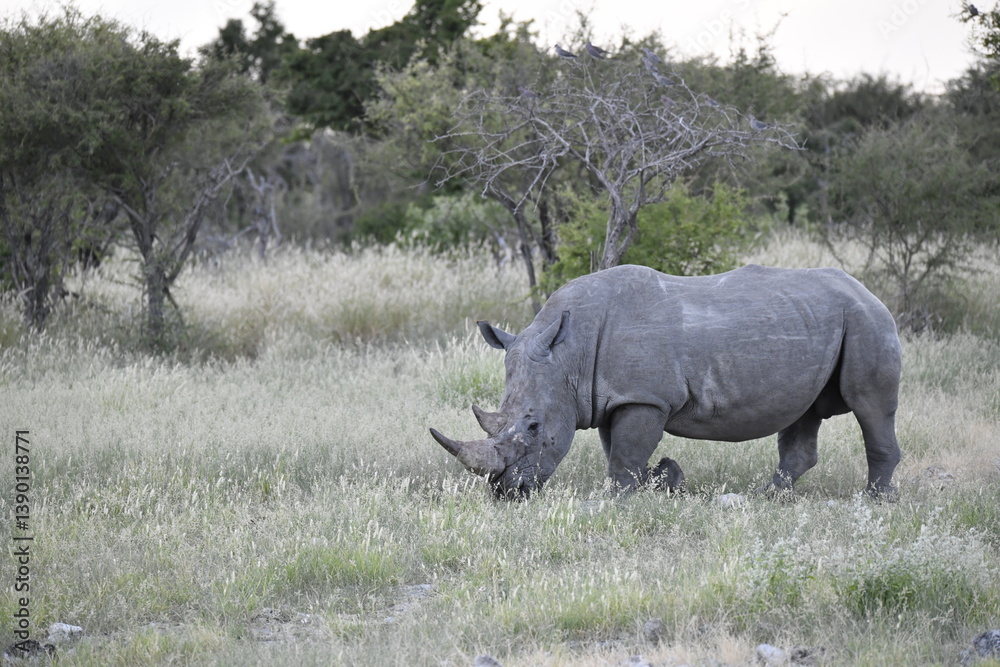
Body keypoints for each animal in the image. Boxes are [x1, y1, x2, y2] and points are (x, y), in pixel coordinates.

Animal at [430, 264, 902, 500]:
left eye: (534, 427)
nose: (507, 493)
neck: (569, 354)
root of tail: (866, 289)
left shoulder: (645, 398)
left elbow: (624, 457)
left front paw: (619, 500)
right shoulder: (613, 398)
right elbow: (619, 451)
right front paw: (662, 479)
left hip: (867, 321)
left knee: (870, 405)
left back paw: (875, 501)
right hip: (819, 322)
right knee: (803, 413)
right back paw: (768, 497)